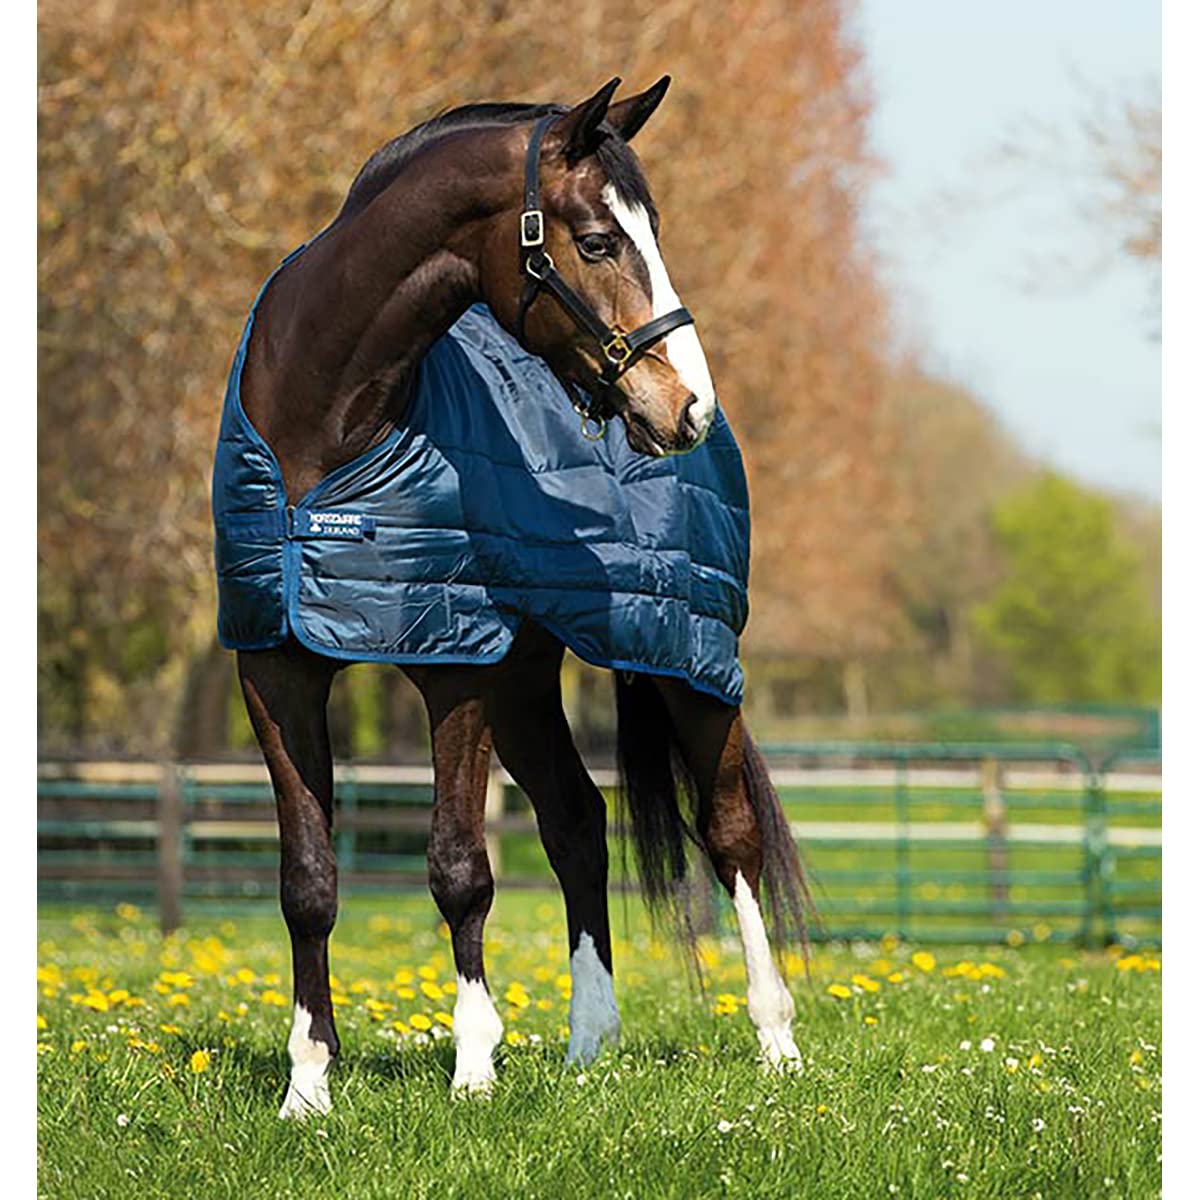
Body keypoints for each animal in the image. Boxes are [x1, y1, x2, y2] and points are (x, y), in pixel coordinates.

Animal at [221, 76, 809, 1117]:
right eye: (600, 241)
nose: (687, 407)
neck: (323, 431)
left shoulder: (454, 666)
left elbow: (460, 867)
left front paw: (474, 1070)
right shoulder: (276, 665)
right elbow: (308, 879)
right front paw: (308, 1086)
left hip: (686, 655)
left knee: (730, 832)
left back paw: (775, 1041)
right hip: (529, 685)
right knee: (578, 825)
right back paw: (589, 1045)